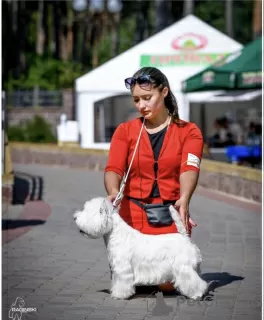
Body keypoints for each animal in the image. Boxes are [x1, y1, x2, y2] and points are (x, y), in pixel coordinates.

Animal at [73, 198, 208, 300]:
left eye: (87, 212)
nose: (75, 217)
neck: (115, 233)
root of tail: (185, 237)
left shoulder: (123, 269)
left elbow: (122, 283)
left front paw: (119, 295)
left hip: (184, 267)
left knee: (196, 282)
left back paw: (197, 294)